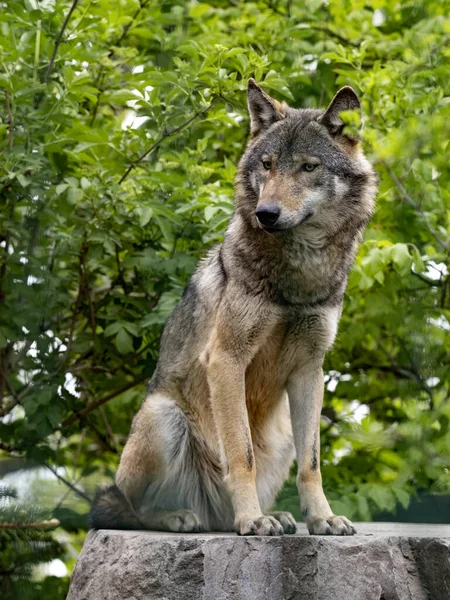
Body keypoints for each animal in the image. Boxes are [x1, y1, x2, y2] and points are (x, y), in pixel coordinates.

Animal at [89, 79, 378, 536]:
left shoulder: (310, 370)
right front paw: (253, 521)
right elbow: (241, 456)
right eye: (267, 164)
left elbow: (312, 465)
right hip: (164, 417)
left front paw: (322, 518)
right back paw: (186, 517)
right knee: (128, 509)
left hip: (281, 436)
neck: (299, 274)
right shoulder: (226, 359)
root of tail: (212, 515)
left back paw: (270, 516)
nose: (266, 213)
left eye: (308, 167)